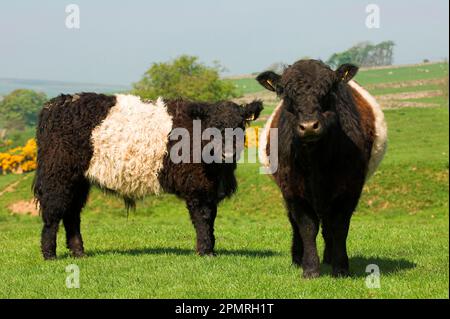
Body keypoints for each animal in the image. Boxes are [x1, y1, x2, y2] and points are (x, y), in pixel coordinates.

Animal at [33, 92, 262, 260]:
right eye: (213, 127)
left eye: (240, 125)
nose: (228, 152)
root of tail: (57, 102)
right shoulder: (197, 187)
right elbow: (203, 218)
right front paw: (205, 251)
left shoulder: (210, 189)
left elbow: (211, 218)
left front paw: (210, 249)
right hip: (58, 175)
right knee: (53, 213)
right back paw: (50, 254)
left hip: (79, 181)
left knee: (72, 214)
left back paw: (79, 252)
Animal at [256, 59, 386, 278]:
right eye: (286, 95)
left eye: (329, 91)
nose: (309, 126)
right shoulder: (293, 191)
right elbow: (307, 227)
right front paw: (309, 268)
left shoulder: (350, 189)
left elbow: (339, 227)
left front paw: (340, 267)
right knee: (297, 224)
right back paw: (298, 258)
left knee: (328, 225)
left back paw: (329, 257)